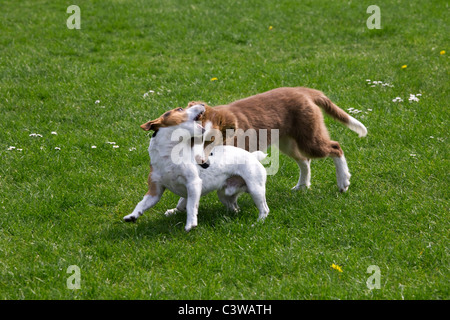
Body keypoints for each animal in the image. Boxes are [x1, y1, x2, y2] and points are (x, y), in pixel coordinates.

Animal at [186, 86, 366, 191]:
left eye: (211, 141)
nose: (201, 162)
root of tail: (304, 91)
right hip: (287, 142)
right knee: (304, 160)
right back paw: (302, 186)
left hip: (309, 139)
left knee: (335, 147)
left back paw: (343, 181)